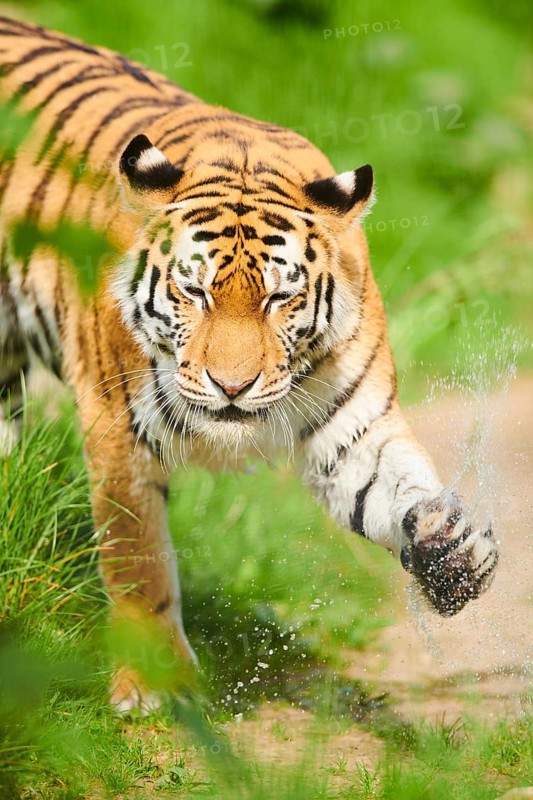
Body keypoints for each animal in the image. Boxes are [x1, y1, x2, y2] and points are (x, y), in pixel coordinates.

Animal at [0, 16, 498, 713]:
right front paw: (155, 686)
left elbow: (399, 487)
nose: (231, 386)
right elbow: (138, 558)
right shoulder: (117, 428)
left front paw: (458, 554)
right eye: (194, 291)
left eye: (279, 297)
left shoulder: (356, 432)